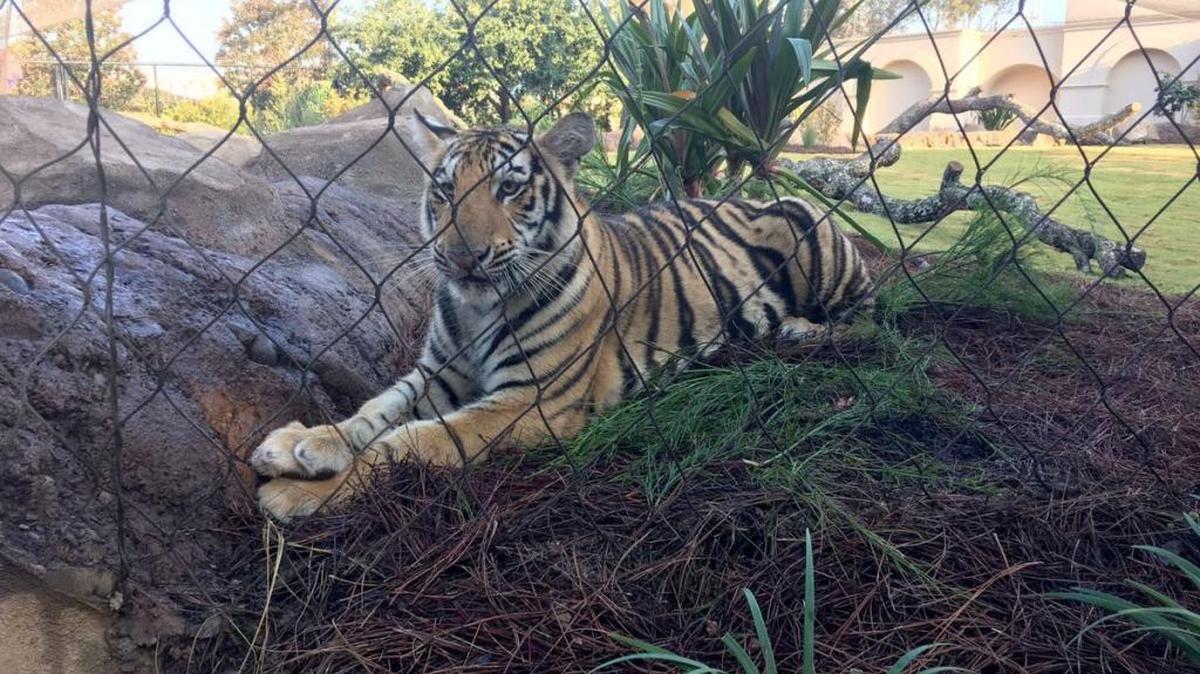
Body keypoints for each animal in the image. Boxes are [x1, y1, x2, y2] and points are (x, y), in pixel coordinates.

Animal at [250, 111, 875, 519]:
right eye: (445, 191)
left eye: (509, 188)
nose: (460, 256)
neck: (478, 309)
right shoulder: (438, 373)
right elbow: (375, 410)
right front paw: (299, 444)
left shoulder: (530, 401)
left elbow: (408, 441)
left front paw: (295, 493)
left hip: (813, 232)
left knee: (871, 313)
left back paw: (801, 331)